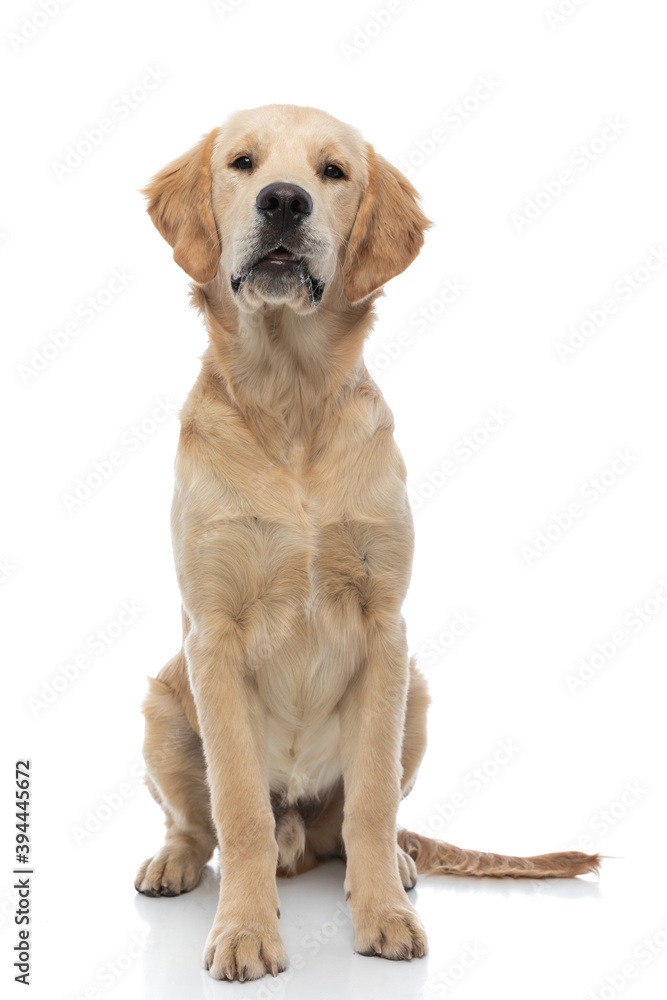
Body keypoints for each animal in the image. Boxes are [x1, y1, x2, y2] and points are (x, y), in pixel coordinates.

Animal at [134, 105, 600, 980]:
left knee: (352, 826)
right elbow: (237, 806)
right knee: (197, 822)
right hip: (162, 706)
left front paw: (381, 911)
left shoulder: (386, 627)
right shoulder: (212, 632)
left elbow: (374, 801)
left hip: (415, 693)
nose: (284, 202)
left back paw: (397, 867)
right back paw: (173, 863)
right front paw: (244, 929)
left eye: (333, 172)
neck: (290, 399)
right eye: (242, 163)